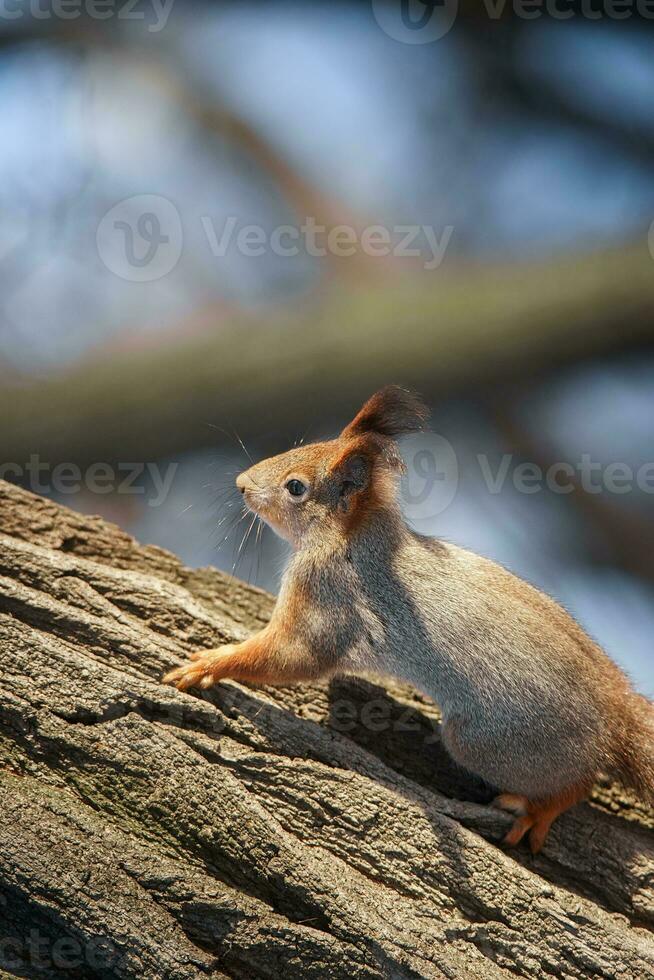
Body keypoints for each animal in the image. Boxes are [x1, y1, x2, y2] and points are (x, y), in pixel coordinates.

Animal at [165, 386, 654, 852]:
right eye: (303, 445)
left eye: (296, 487)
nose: (241, 484)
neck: (358, 539)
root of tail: (616, 711)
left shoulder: (328, 592)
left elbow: (295, 655)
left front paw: (211, 664)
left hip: (489, 742)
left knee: (578, 782)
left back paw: (540, 809)